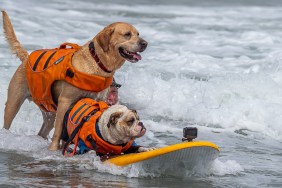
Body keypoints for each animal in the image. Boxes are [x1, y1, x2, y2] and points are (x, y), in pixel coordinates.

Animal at [2, 11, 148, 151]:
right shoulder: (65, 101)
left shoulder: (97, 101)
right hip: (13, 104)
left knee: (43, 131)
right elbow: (59, 131)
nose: (145, 43)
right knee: (7, 124)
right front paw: (54, 149)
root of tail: (26, 58)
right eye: (127, 34)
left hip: (50, 113)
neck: (97, 62)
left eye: (138, 34)